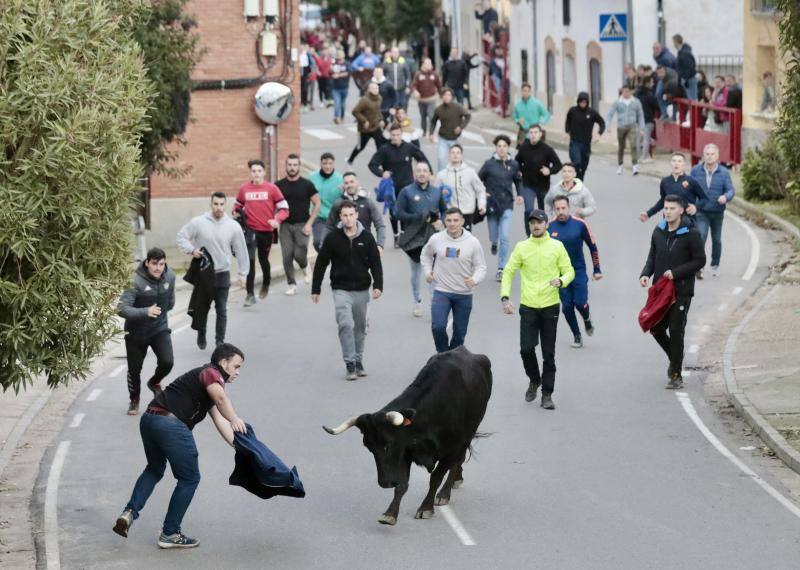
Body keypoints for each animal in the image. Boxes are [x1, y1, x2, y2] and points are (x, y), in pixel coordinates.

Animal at [322, 344, 490, 520]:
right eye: (368, 447)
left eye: (388, 443)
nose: (384, 483)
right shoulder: (405, 452)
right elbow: (402, 483)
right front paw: (390, 514)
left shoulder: (451, 449)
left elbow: (436, 477)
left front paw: (426, 507)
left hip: (468, 434)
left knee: (459, 460)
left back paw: (445, 492)